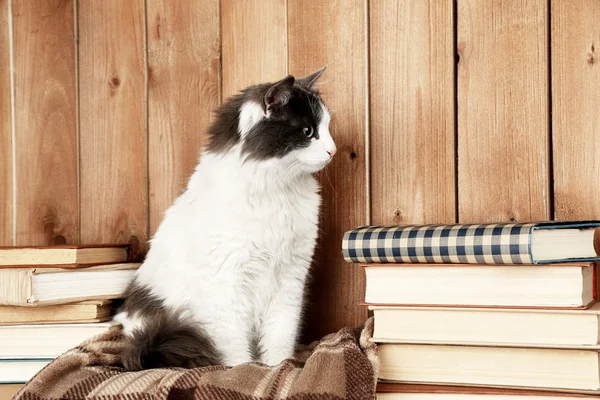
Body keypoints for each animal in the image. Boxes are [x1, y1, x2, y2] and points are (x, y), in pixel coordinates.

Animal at [115, 66, 336, 372]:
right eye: (308, 131)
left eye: (327, 128)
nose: (333, 150)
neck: (276, 190)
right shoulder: (226, 281)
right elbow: (234, 342)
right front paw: (242, 370)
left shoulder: (290, 276)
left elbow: (280, 333)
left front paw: (278, 366)